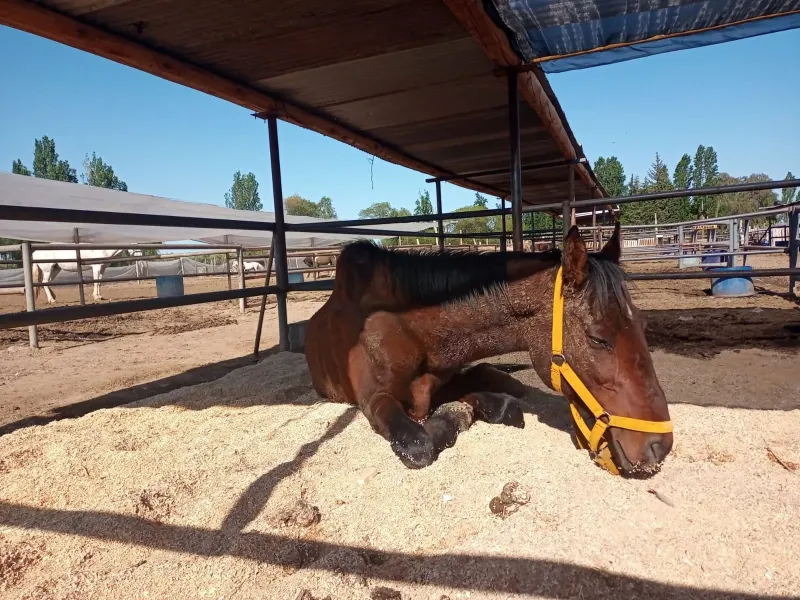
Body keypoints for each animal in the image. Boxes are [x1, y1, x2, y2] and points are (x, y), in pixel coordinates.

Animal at [304, 225, 672, 478]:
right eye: (598, 339)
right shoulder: (374, 400)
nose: (660, 446)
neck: (404, 327)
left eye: (642, 324)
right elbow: (419, 444)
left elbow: (491, 400)